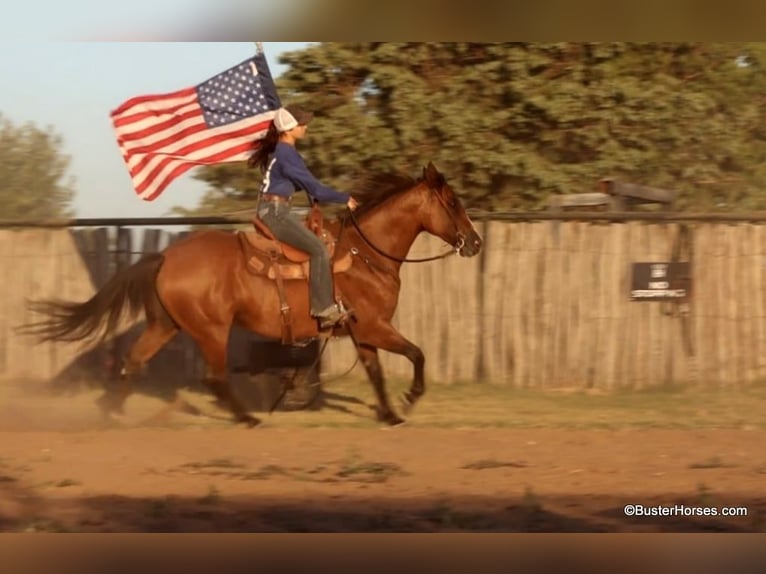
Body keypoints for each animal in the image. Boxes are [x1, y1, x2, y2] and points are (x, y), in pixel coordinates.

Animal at [18, 162, 483, 426]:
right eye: (452, 202)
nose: (475, 243)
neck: (364, 254)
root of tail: (166, 256)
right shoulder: (375, 326)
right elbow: (416, 354)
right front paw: (411, 398)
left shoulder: (362, 332)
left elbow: (376, 373)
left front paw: (389, 414)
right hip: (211, 330)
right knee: (214, 377)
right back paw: (247, 419)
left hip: (165, 325)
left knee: (134, 360)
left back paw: (111, 412)